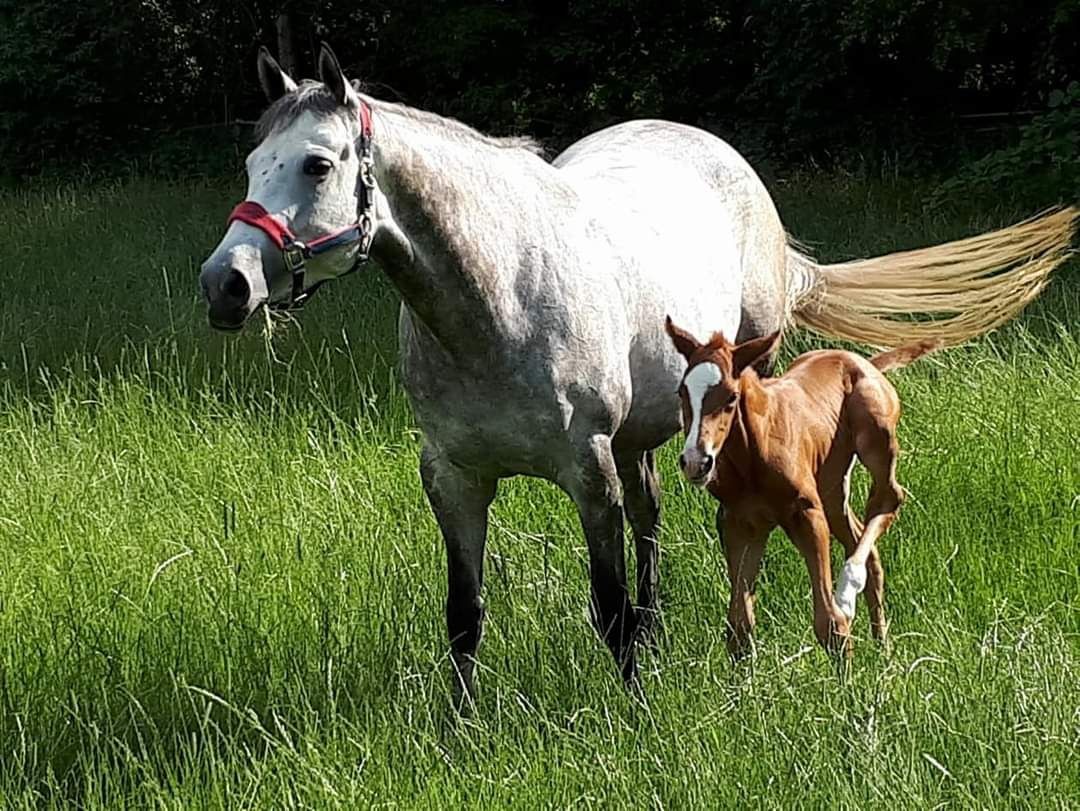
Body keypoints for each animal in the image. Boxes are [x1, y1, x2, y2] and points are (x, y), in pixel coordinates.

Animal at [660, 317, 941, 660]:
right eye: (682, 392)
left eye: (730, 397)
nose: (696, 461)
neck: (754, 454)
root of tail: (862, 361)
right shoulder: (739, 523)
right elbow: (739, 628)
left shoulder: (806, 513)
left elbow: (830, 623)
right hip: (831, 486)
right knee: (862, 538)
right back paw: (883, 648)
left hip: (875, 438)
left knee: (888, 499)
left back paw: (848, 590)